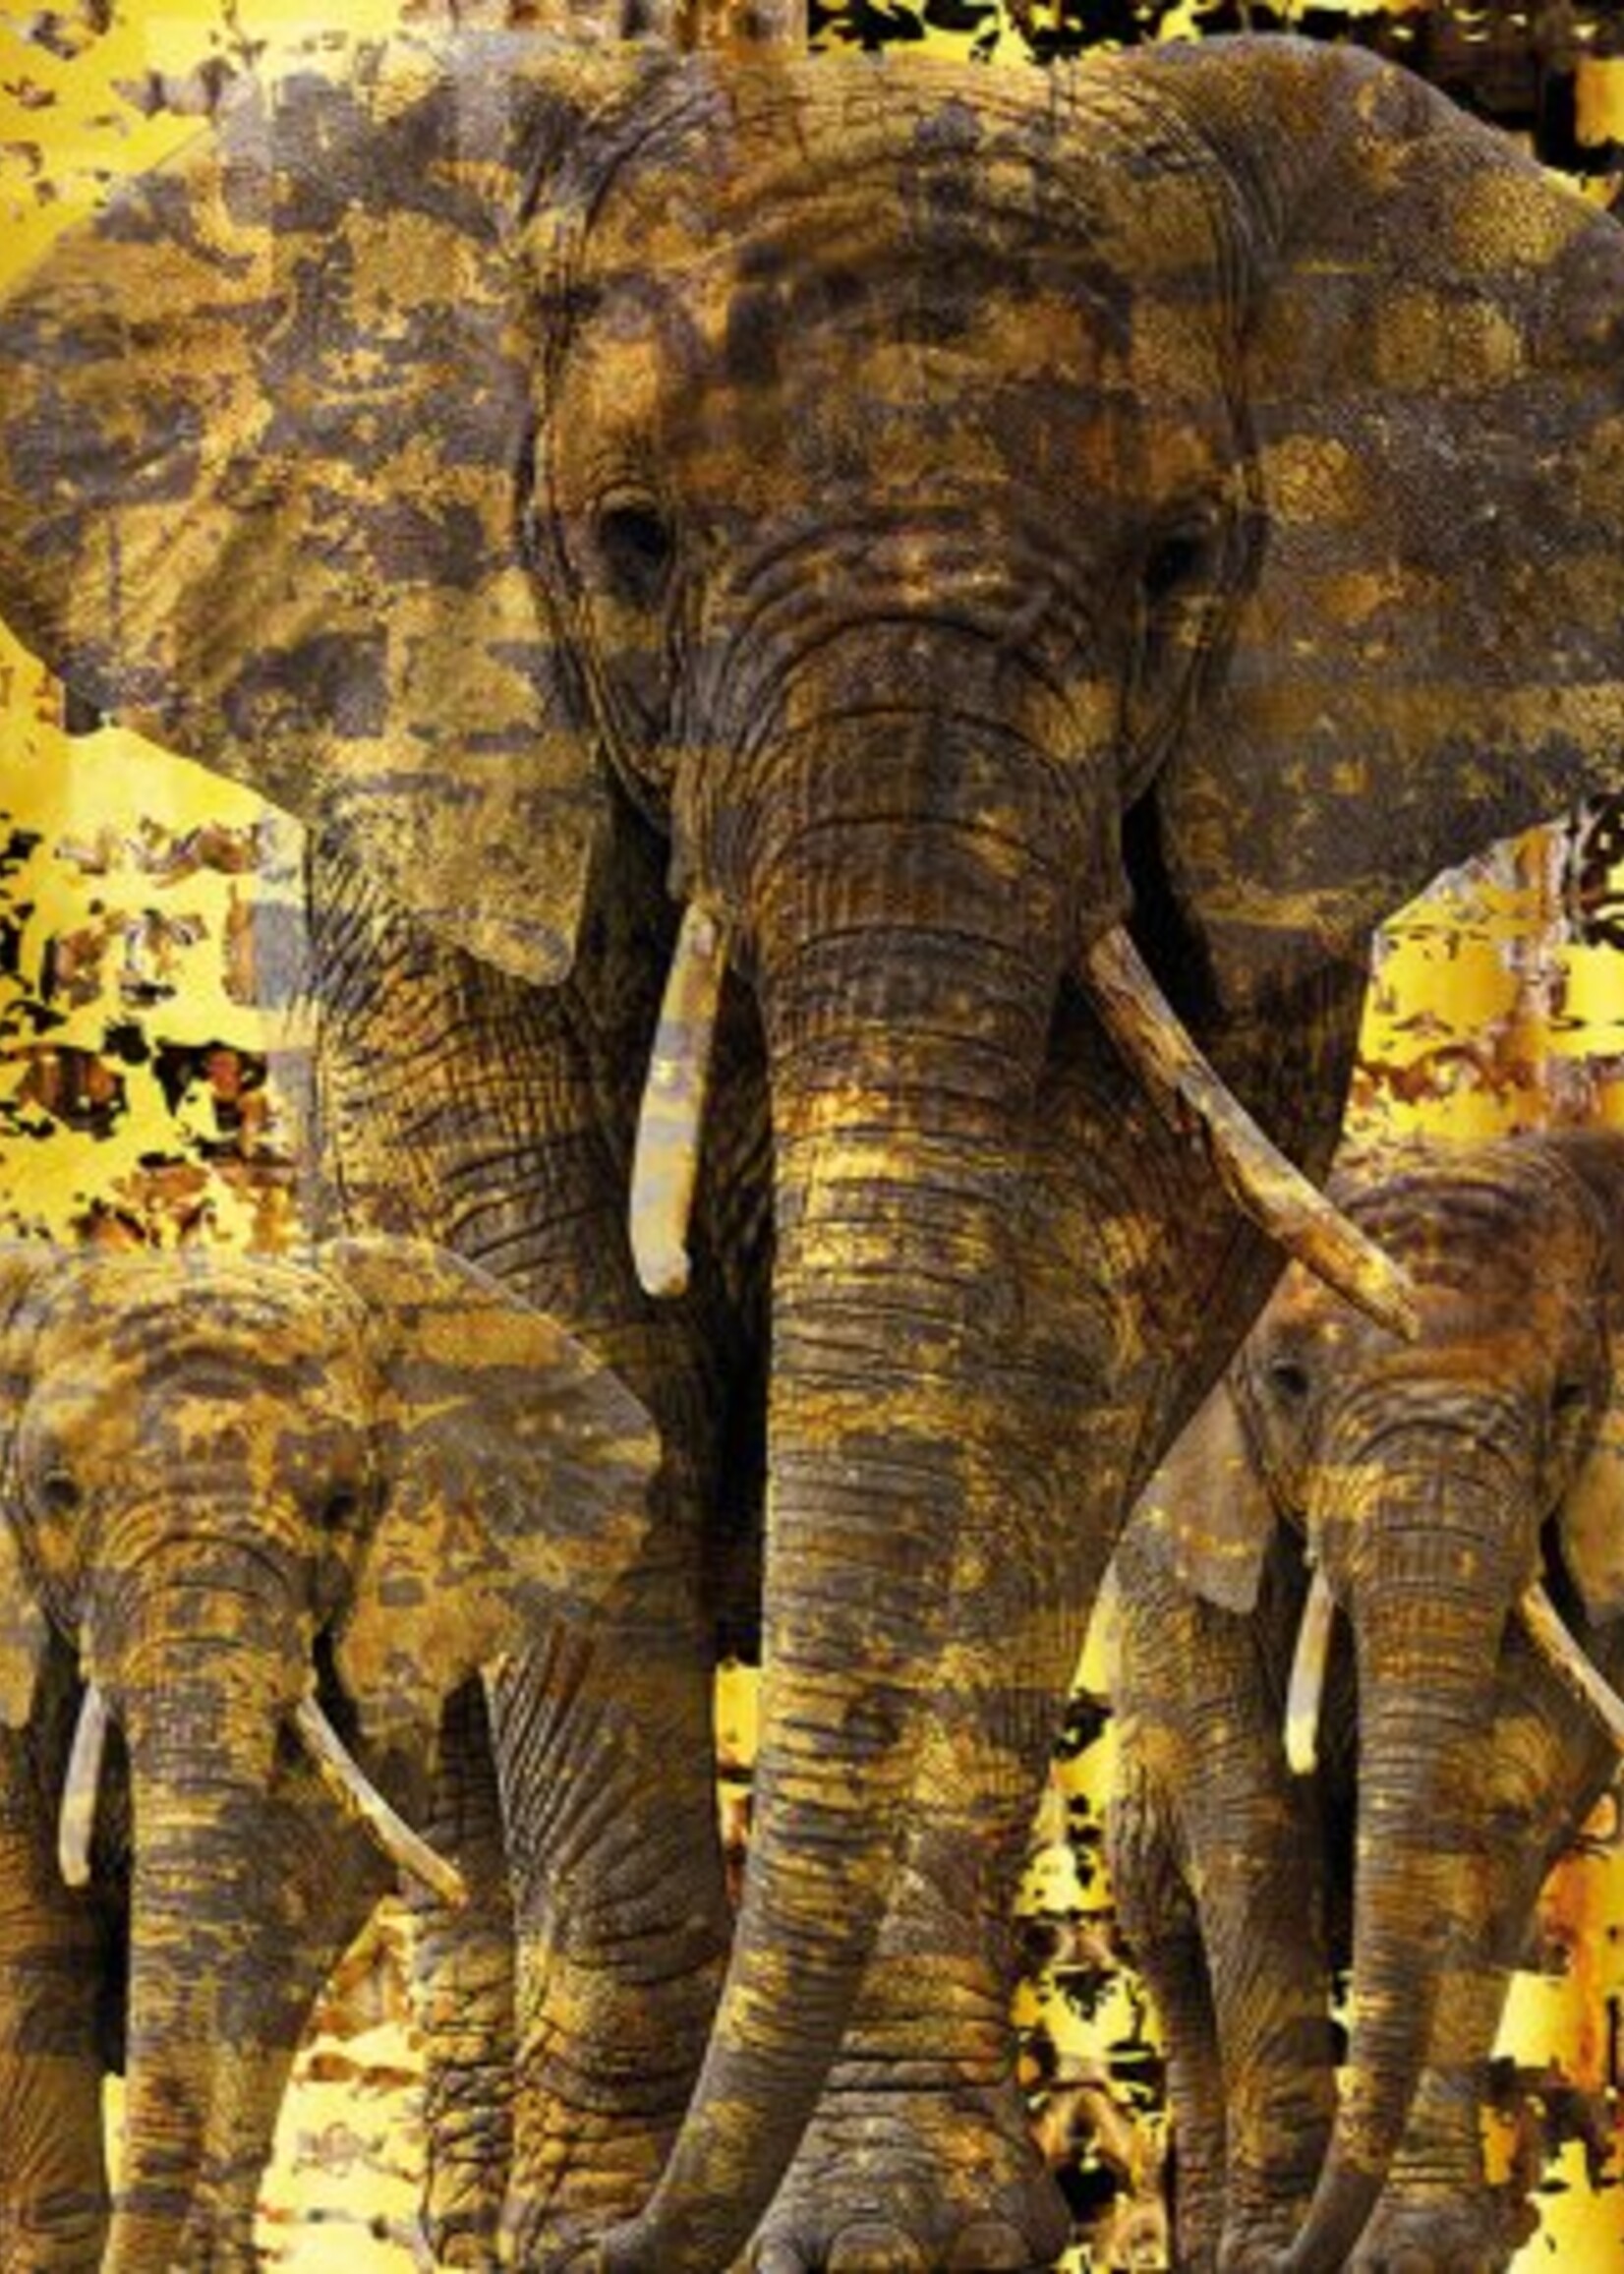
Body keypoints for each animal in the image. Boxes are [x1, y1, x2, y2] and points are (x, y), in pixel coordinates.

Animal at [1108, 1130, 1624, 2272]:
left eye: (1570, 1395)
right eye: (1289, 1380)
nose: (1312, 2249)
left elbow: (1492, 1808)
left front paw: (1415, 2251)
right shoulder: (1182, 1527)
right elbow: (1246, 1818)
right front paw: (1265, 2251)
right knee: (1162, 1907)